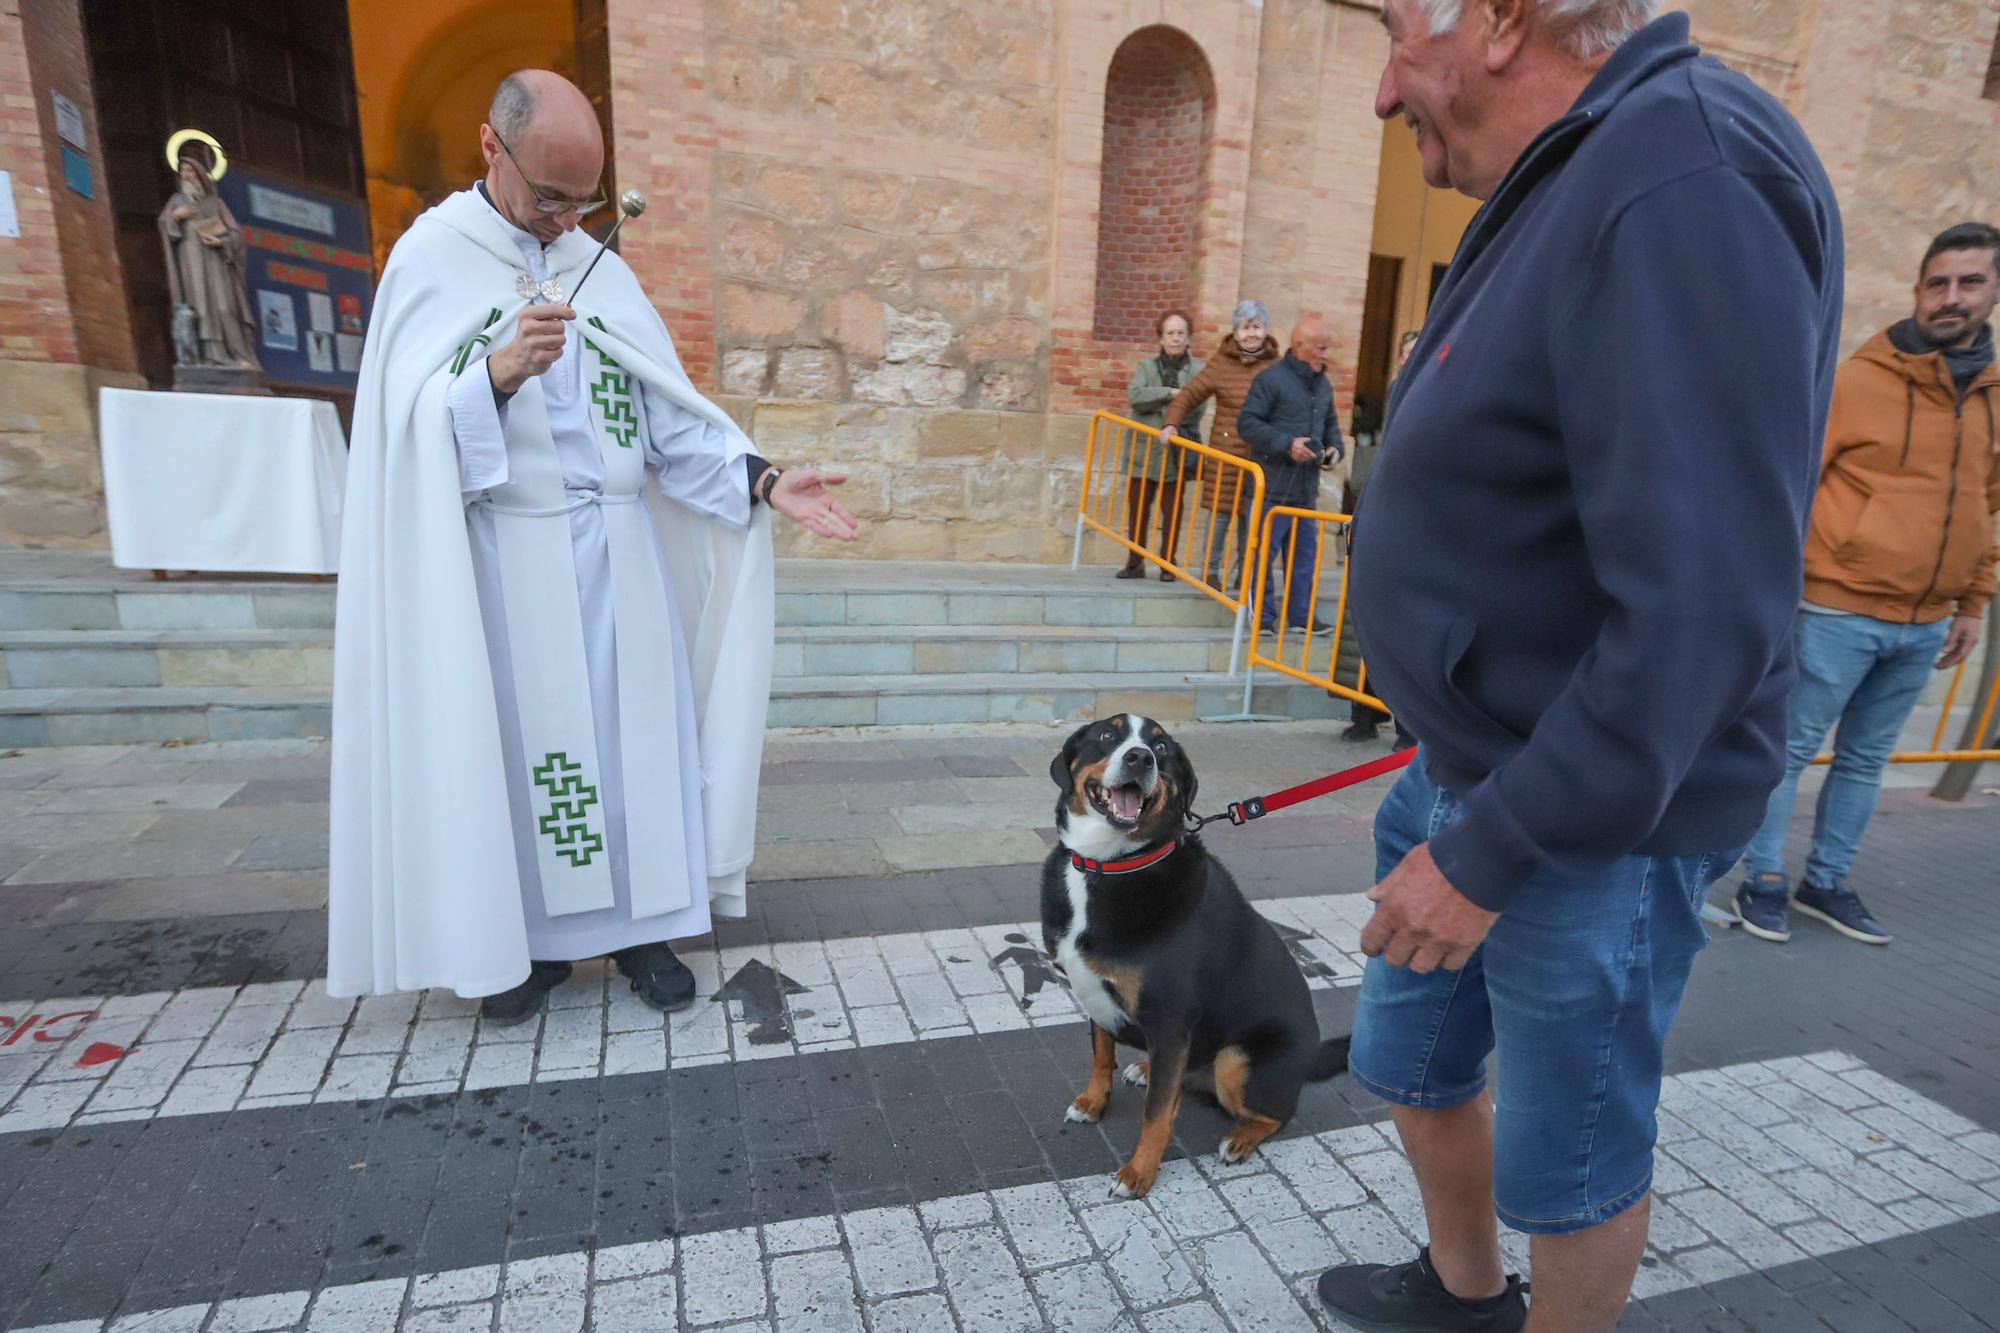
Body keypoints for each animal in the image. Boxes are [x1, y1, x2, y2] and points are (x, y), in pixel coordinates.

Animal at [1040, 712, 1352, 1200]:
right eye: (1108, 734)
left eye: (1161, 748)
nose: (1139, 758)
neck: (1109, 864)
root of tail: (1311, 1054)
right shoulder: (1097, 996)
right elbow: (1101, 1055)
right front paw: (1092, 1103)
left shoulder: (1170, 1021)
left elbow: (1156, 1115)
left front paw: (1138, 1174)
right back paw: (1146, 1068)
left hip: (1235, 1060)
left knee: (1278, 1112)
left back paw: (1240, 1139)